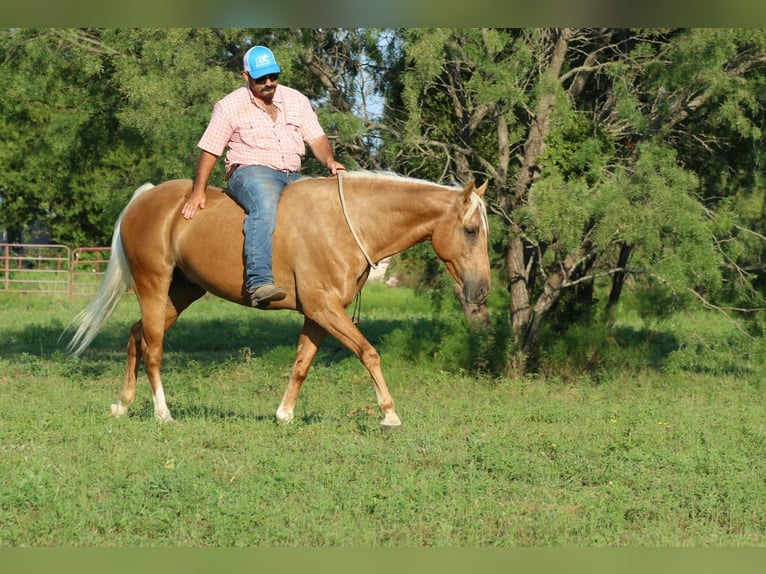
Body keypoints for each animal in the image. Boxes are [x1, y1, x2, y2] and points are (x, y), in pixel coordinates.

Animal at [66, 171, 491, 429]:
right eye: (471, 230)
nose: (482, 290)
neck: (345, 223)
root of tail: (145, 198)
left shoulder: (318, 314)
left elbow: (302, 364)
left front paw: (284, 414)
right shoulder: (325, 309)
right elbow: (369, 353)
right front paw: (389, 414)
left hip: (181, 292)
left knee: (137, 335)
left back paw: (123, 403)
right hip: (153, 285)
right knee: (153, 349)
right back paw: (162, 413)